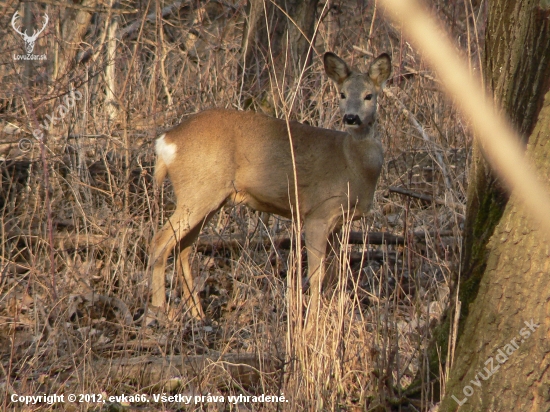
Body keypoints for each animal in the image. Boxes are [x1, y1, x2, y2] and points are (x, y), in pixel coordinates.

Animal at [151, 50, 392, 322]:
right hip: (197, 191)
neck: (351, 163)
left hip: (210, 198)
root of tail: (166, 141)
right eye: (342, 94)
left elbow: (333, 275)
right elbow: (316, 276)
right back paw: (158, 311)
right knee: (160, 241)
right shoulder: (317, 213)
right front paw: (311, 325)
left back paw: (197, 315)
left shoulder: (339, 223)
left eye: (369, 95)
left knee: (183, 246)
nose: (351, 117)